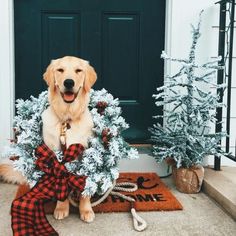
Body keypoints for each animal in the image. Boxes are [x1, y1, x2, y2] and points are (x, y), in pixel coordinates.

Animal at [0, 56, 97, 222]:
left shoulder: (86, 154)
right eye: (60, 70)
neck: (67, 119)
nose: (69, 82)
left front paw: (86, 210)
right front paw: (61, 207)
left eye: (78, 70)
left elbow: (85, 186)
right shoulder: (55, 155)